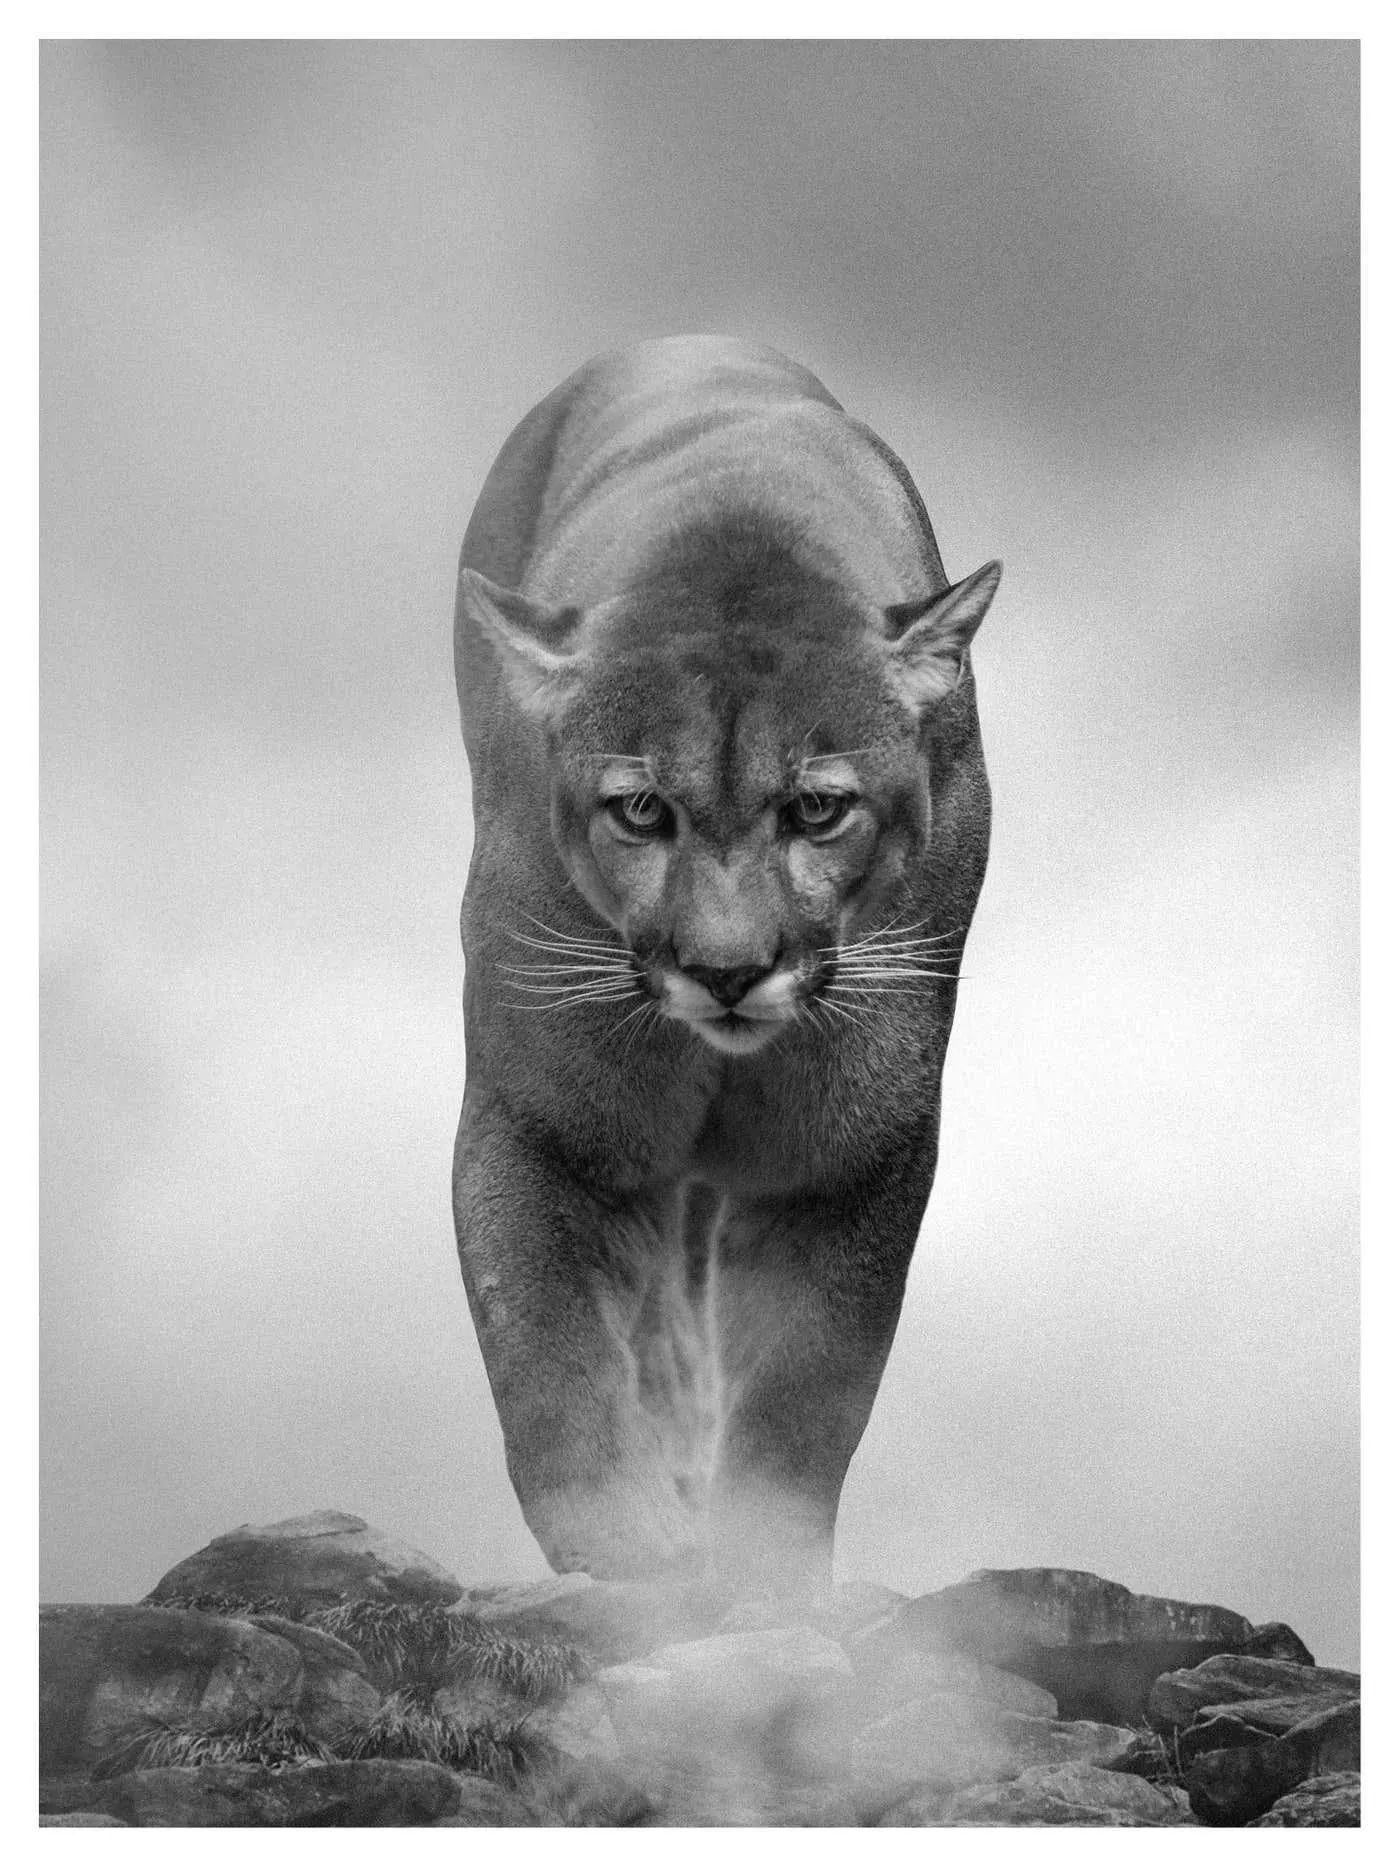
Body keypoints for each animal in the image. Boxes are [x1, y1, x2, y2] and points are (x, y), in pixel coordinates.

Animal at [452, 336, 1000, 1591]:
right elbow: (546, 1362)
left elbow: (807, 1391)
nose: (727, 968)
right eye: (640, 809)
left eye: (816, 808)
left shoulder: (849, 1150)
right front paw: (627, 1569)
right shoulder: (542, 1120)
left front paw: (759, 1578)